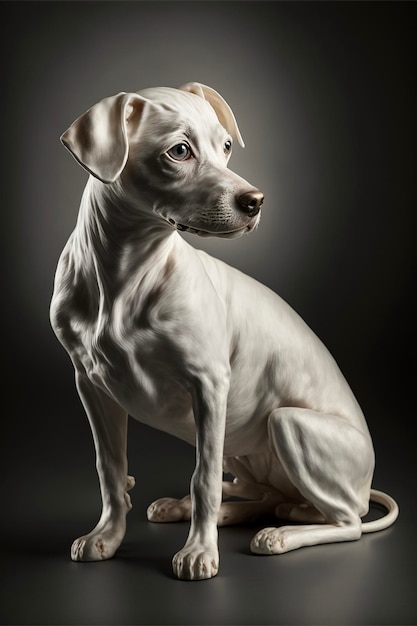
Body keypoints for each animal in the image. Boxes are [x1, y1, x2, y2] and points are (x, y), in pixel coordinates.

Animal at [50, 83, 398, 580]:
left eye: (227, 146)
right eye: (180, 151)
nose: (256, 201)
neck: (126, 273)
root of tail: (366, 480)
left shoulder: (210, 385)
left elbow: (204, 479)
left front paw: (199, 552)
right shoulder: (91, 386)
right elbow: (110, 469)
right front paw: (107, 537)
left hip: (287, 423)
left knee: (344, 521)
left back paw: (279, 535)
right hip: (242, 440)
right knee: (269, 496)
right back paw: (212, 510)